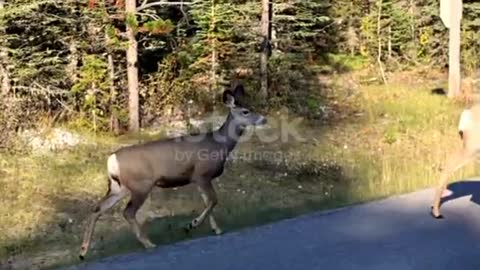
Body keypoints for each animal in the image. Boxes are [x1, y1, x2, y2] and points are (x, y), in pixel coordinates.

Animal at [78, 84, 266, 260]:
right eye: (246, 111)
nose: (263, 119)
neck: (220, 145)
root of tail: (111, 160)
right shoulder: (201, 174)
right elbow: (213, 200)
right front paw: (192, 224)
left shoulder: (199, 179)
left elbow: (208, 202)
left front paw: (216, 229)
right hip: (141, 185)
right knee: (128, 212)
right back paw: (149, 243)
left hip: (119, 187)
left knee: (98, 208)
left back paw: (83, 251)